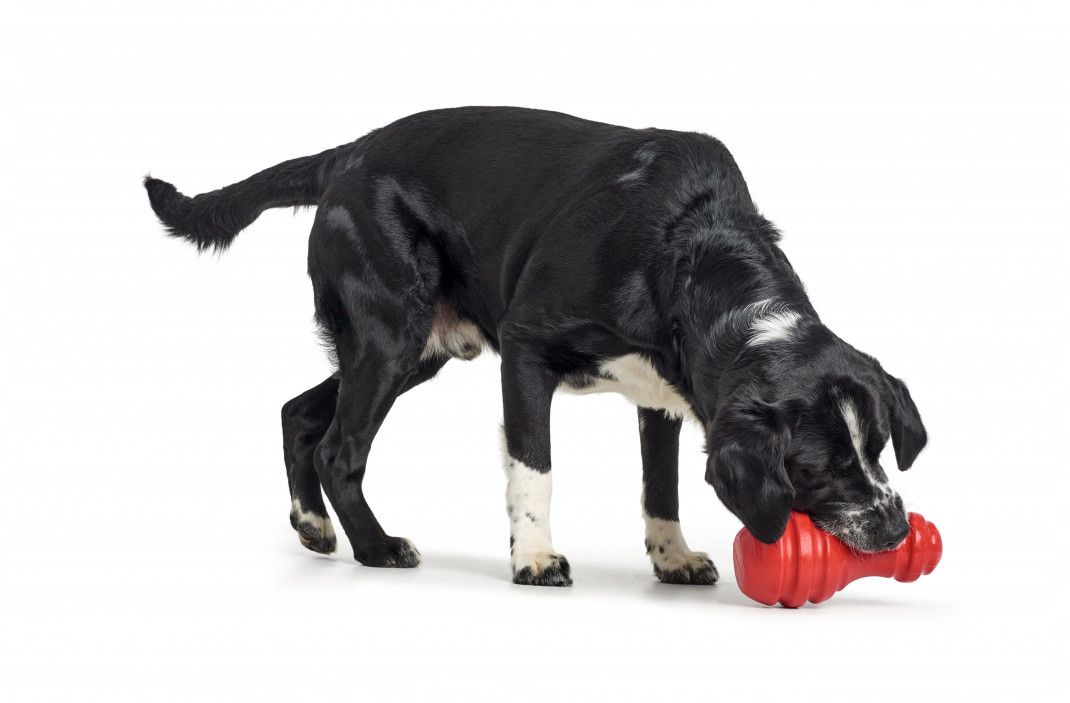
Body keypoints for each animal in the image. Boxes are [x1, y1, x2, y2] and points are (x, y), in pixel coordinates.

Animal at [146, 105, 924, 586]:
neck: (691, 248)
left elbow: (662, 485)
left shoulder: (664, 397)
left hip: (413, 348)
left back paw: (311, 523)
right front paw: (535, 558)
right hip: (389, 337)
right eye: (814, 468)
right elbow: (535, 469)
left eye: (881, 447)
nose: (893, 529)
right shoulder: (524, 349)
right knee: (339, 446)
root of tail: (351, 152)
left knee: (300, 414)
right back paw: (375, 547)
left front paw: (671, 558)